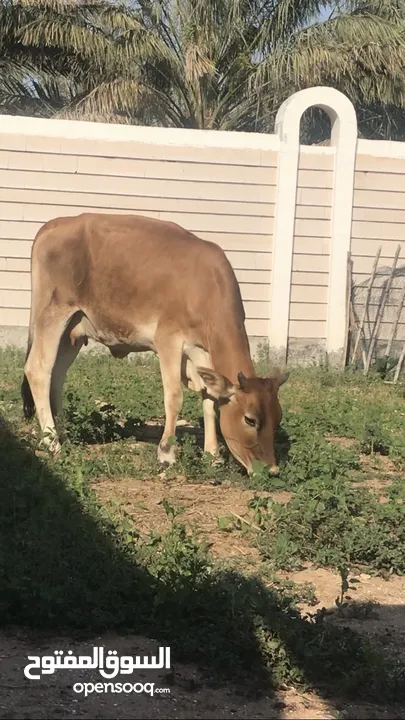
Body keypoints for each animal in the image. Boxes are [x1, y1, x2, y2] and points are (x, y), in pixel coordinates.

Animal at [21, 211, 288, 476]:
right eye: (250, 419)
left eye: (278, 419)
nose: (272, 470)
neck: (204, 286)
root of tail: (54, 224)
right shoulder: (168, 339)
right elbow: (174, 396)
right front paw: (167, 452)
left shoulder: (201, 352)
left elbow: (210, 399)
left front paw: (212, 455)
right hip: (53, 314)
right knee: (38, 370)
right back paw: (52, 441)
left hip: (73, 331)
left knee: (57, 376)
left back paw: (64, 435)